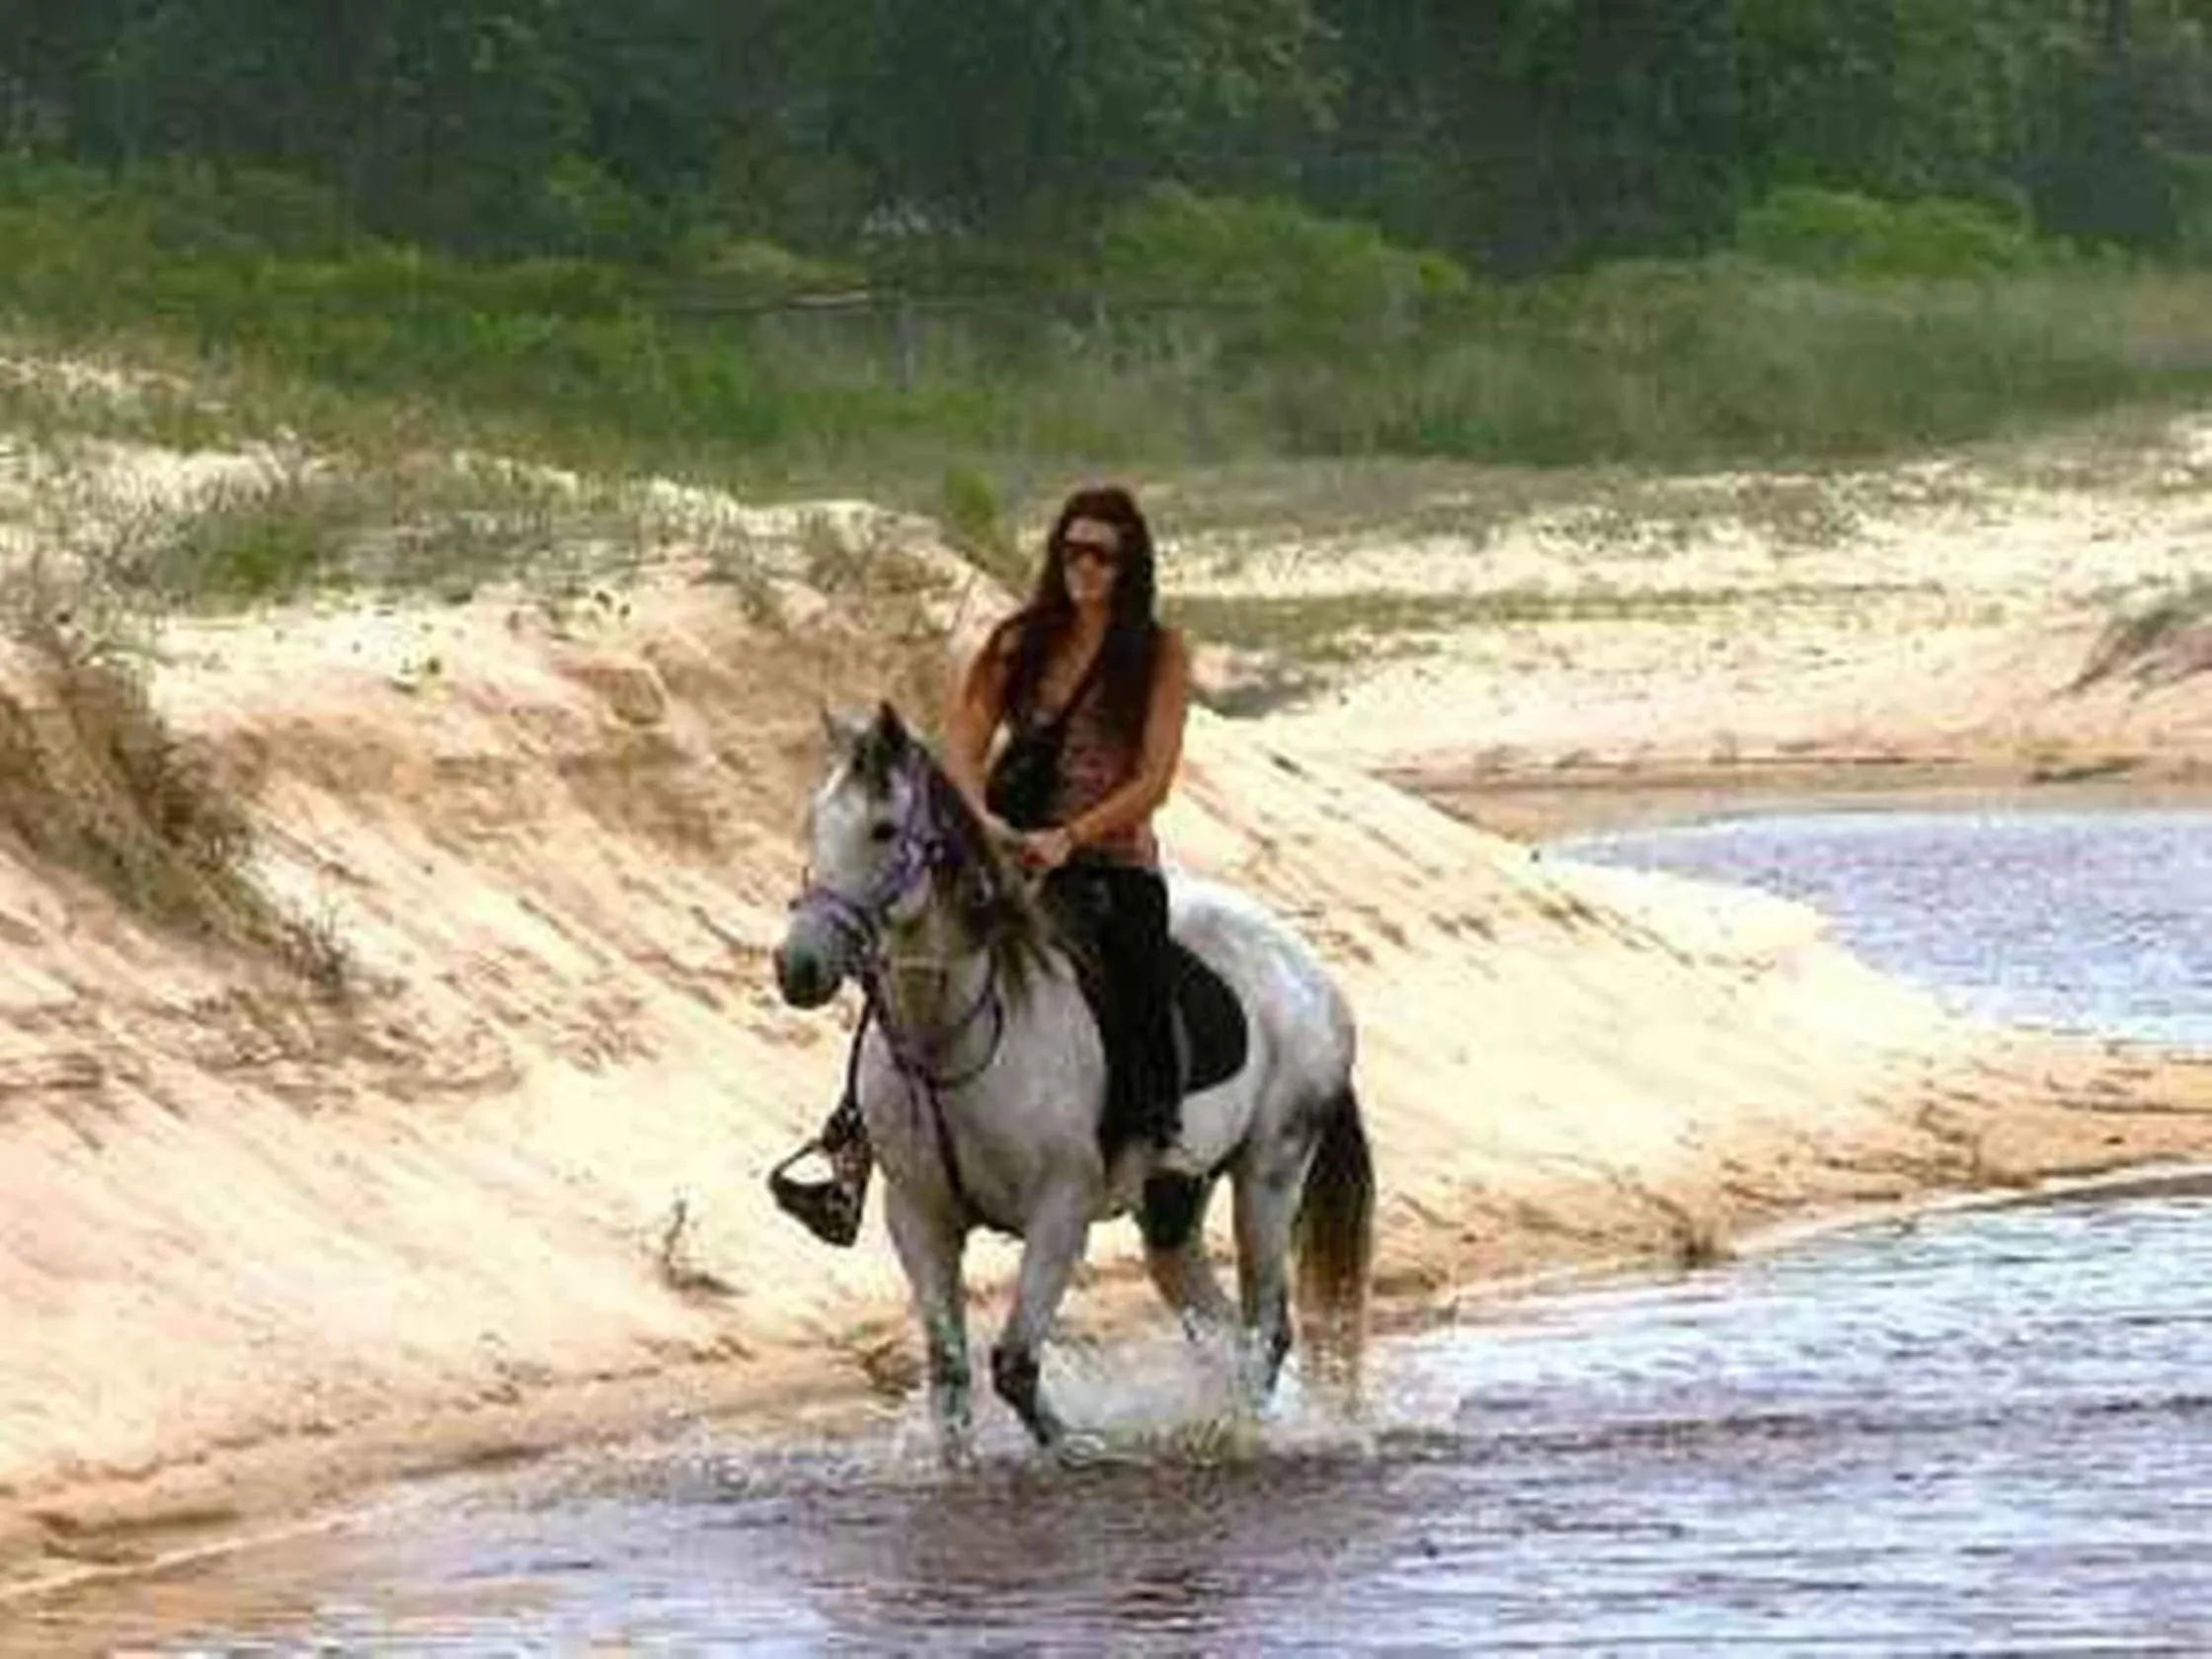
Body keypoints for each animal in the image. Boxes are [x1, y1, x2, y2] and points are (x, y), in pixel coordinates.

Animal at [773, 702, 1374, 1463]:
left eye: (882, 830)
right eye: (813, 823)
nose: (797, 968)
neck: (954, 1037)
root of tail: (1312, 973)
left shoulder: (1060, 1212)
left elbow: (1015, 1365)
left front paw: (1083, 1447)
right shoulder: (918, 1217)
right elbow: (949, 1376)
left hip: (1271, 1170)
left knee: (1265, 1329)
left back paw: (1235, 1435)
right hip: (1174, 1201)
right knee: (1218, 1328)